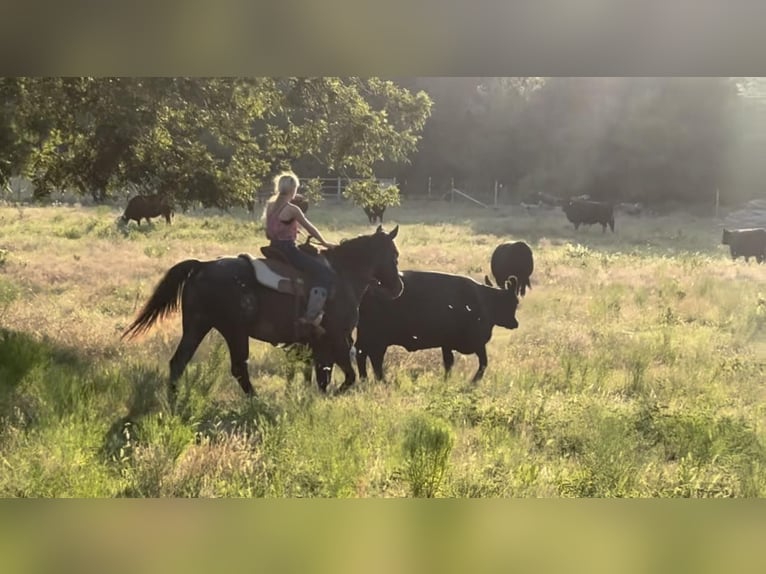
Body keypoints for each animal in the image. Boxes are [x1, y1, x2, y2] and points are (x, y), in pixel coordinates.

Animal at [123, 225, 404, 396]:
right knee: (238, 368)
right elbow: (347, 375)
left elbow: (323, 374)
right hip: (234, 332)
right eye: (394, 255)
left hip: (196, 326)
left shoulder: (318, 343)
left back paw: (174, 400)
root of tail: (202, 266)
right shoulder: (336, 337)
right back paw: (255, 398)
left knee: (178, 362)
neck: (342, 275)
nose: (398, 286)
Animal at [354, 272, 520, 388]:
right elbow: (483, 362)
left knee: (363, 354)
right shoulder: (477, 343)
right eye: (513, 302)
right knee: (373, 357)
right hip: (377, 338)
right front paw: (473, 381)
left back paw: (365, 379)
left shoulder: (447, 344)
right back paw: (379, 380)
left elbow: (449, 363)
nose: (515, 323)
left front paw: (446, 380)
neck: (484, 301)